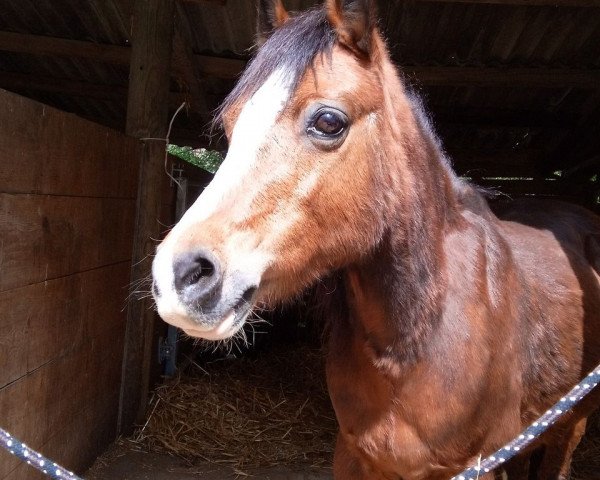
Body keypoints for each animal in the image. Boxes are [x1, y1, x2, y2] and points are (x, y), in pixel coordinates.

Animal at [150, 1, 600, 478]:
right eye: (232, 124)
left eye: (328, 121)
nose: (178, 276)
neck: (419, 338)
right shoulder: (353, 455)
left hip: (569, 428)